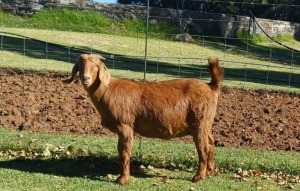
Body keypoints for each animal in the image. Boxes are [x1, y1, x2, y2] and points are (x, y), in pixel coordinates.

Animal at [63, 53, 223, 185]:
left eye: (96, 66)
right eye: (79, 66)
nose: (86, 78)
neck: (107, 91)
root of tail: (211, 87)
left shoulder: (125, 126)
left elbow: (125, 151)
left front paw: (122, 179)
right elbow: (121, 150)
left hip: (200, 122)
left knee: (204, 148)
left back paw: (198, 177)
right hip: (205, 123)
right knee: (211, 143)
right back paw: (209, 171)